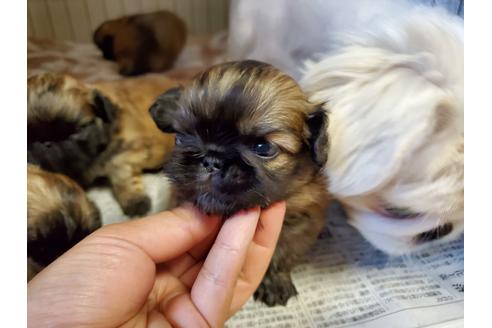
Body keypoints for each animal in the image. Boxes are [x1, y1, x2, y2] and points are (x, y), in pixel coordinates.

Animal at [27, 73, 176, 217]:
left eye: (76, 131)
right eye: (29, 135)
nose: (46, 143)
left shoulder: (124, 153)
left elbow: (122, 176)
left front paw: (134, 200)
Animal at [150, 60, 330, 306]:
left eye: (263, 148)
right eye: (182, 136)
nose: (212, 160)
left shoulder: (300, 220)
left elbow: (281, 252)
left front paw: (274, 281)